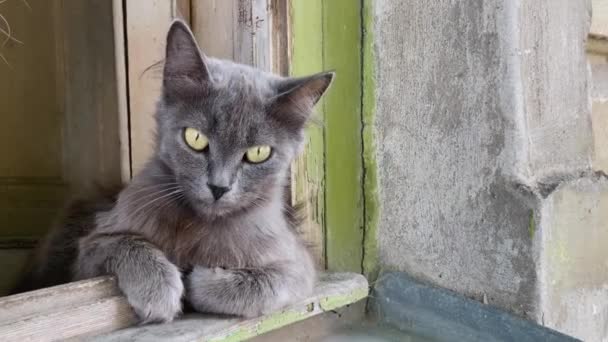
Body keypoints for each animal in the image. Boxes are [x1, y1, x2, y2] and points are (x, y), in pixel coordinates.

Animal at [14, 21, 334, 324]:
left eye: (258, 153)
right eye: (195, 138)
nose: (219, 187)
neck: (197, 225)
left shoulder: (297, 266)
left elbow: (264, 286)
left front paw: (198, 280)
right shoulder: (90, 249)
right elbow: (129, 243)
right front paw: (159, 289)